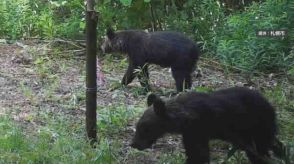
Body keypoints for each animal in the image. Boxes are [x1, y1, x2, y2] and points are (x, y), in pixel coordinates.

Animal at [131, 88, 278, 163]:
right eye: (138, 126)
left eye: (145, 128)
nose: (134, 144)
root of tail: (269, 104)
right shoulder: (190, 134)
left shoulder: (198, 131)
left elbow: (200, 155)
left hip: (261, 127)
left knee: (262, 149)